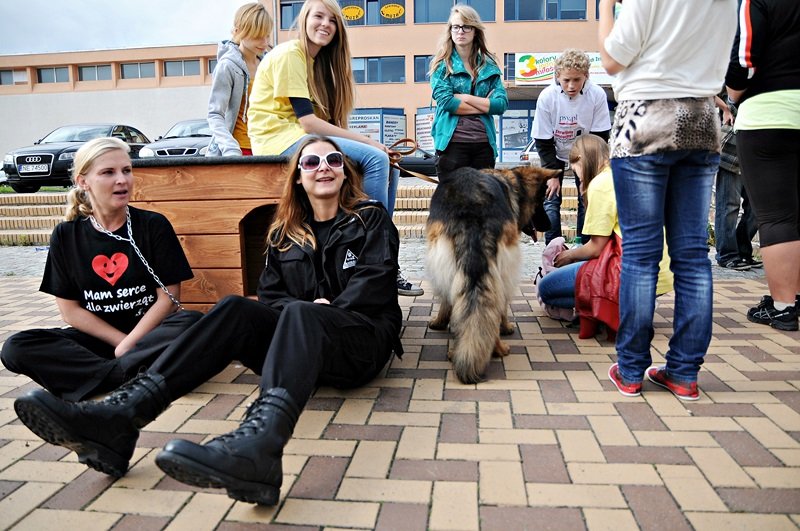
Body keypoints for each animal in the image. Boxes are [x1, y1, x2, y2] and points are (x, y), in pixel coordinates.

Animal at [424, 165, 556, 382]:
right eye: (539, 203)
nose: (550, 226)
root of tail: (472, 207)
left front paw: (439, 322)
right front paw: (506, 326)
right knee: (494, 304)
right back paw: (497, 348)